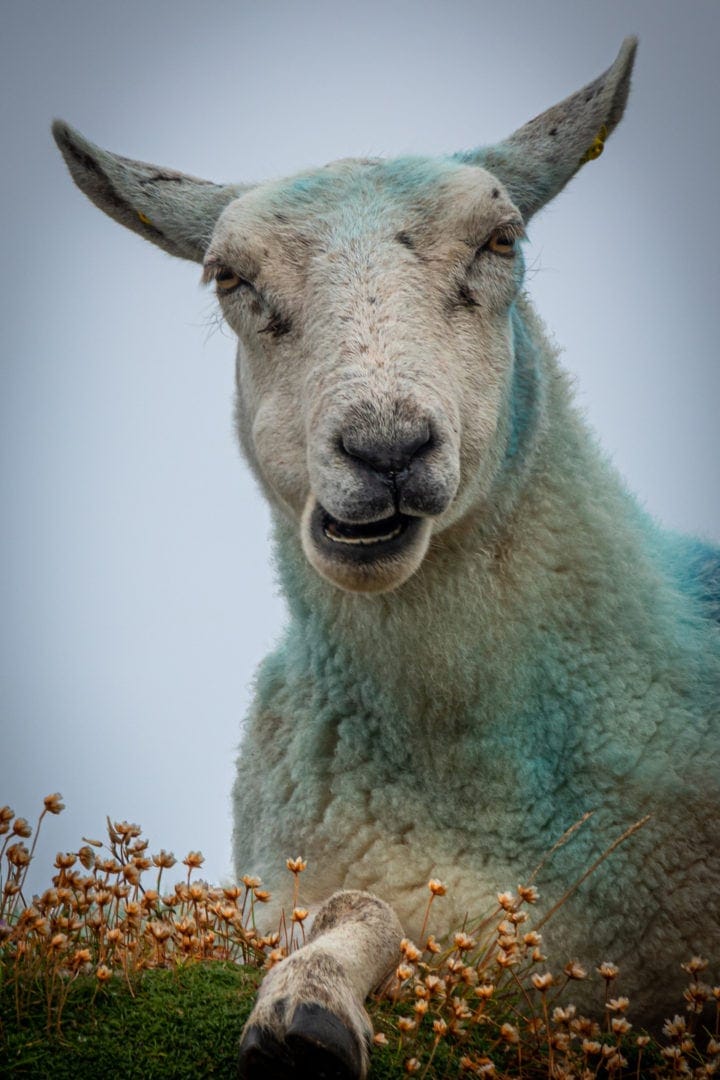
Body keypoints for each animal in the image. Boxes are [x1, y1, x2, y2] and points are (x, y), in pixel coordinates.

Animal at [53, 35, 716, 1080]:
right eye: (228, 279)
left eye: (501, 243)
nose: (387, 449)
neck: (457, 766)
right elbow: (360, 911)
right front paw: (308, 1007)